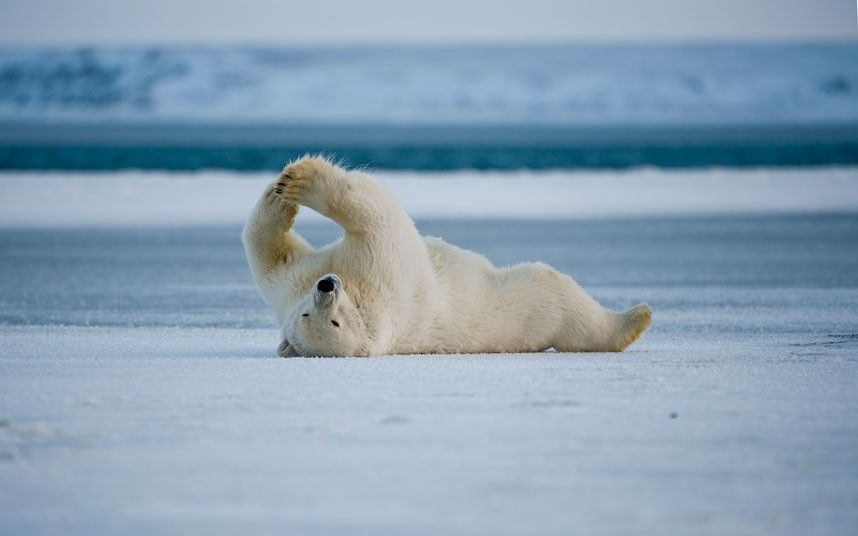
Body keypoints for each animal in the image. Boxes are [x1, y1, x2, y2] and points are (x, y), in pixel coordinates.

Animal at [242, 157, 651, 357]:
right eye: (328, 322)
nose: (327, 286)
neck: (358, 294)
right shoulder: (380, 278)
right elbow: (375, 216)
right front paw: (300, 181)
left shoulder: (291, 287)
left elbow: (269, 251)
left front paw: (284, 185)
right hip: (527, 307)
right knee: (560, 297)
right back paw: (634, 320)